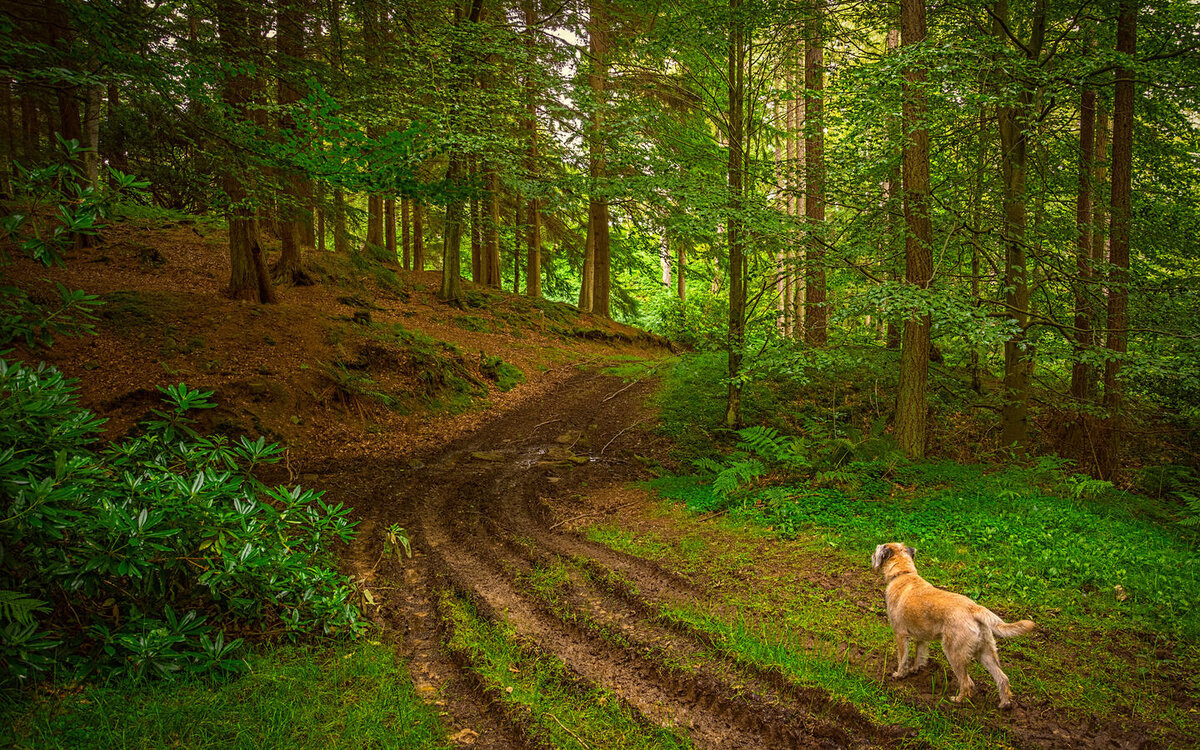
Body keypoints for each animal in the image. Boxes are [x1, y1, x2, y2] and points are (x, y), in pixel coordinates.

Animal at [873, 540, 1032, 705]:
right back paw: (1004, 704)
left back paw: (957, 700)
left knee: (967, 682)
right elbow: (920, 655)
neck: (903, 574)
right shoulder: (921, 638)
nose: (873, 555)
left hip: (954, 653)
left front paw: (899, 675)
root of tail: (974, 608)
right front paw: (915, 669)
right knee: (1002, 678)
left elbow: (902, 659)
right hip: (986, 652)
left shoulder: (900, 634)